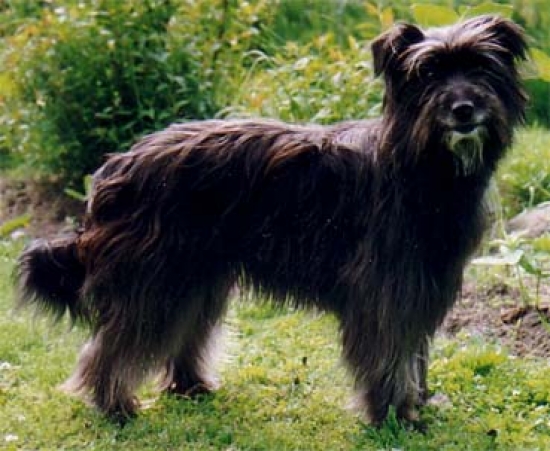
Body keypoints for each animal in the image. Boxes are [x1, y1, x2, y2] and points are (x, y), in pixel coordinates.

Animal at [15, 15, 528, 428]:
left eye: (481, 67)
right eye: (429, 73)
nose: (463, 110)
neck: (418, 167)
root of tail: (114, 168)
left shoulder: (424, 283)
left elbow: (413, 350)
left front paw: (416, 404)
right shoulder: (384, 289)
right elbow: (388, 352)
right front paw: (392, 416)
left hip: (194, 277)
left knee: (183, 332)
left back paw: (191, 385)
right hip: (152, 277)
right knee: (114, 345)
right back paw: (114, 406)